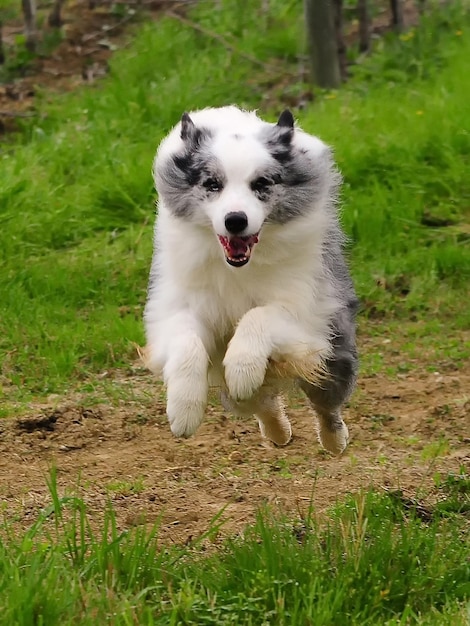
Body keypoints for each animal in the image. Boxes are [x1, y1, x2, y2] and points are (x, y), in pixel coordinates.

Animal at [141, 105, 358, 450]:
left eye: (261, 183)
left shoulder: (304, 308)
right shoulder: (178, 304)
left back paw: (333, 440)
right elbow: (187, 342)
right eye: (212, 184)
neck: (236, 267)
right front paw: (183, 412)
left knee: (325, 403)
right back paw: (278, 433)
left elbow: (259, 316)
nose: (235, 220)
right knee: (258, 402)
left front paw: (242, 367)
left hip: (333, 352)